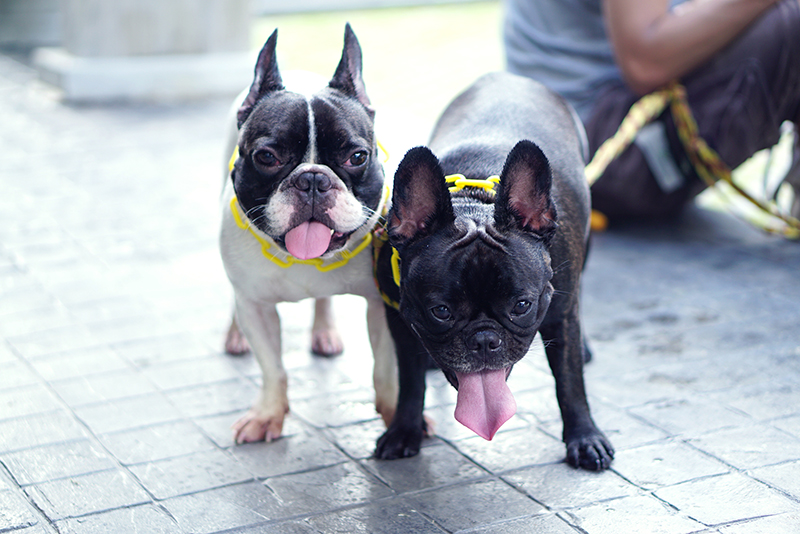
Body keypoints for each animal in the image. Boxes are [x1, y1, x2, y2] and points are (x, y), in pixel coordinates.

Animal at [374, 72, 612, 474]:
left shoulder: (560, 315)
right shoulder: (397, 320)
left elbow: (570, 382)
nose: (485, 340)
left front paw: (585, 438)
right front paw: (404, 431)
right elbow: (409, 382)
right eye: (441, 312)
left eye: (521, 306)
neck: (473, 202)